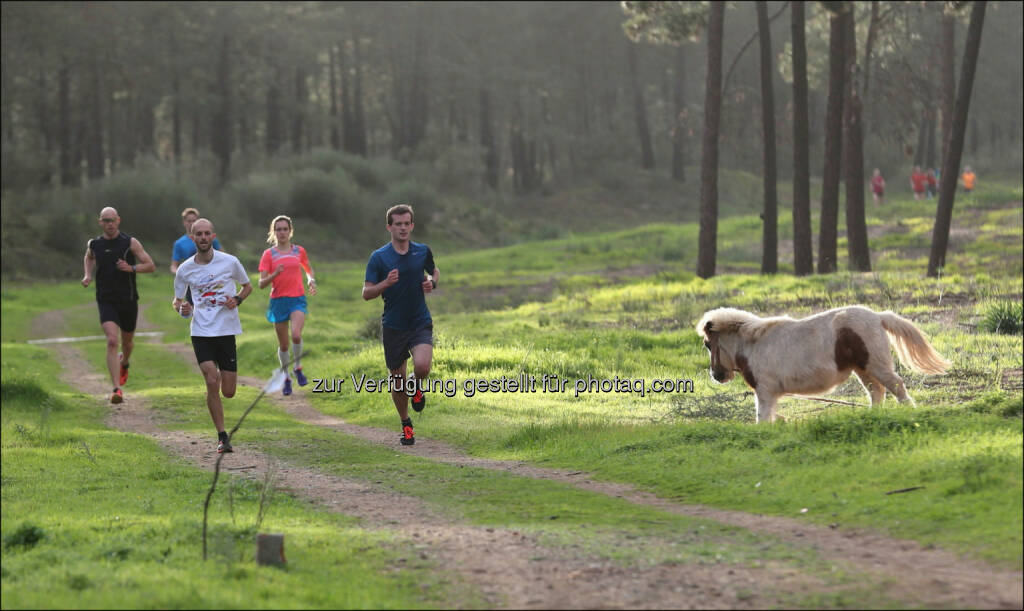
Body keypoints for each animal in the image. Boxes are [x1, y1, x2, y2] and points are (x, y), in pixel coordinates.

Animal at [696, 307, 950, 421]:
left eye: (708, 344)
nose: (717, 375)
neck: (752, 344)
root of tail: (878, 316)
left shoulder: (765, 391)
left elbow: (763, 417)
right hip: (862, 369)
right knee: (877, 392)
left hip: (876, 365)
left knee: (896, 386)